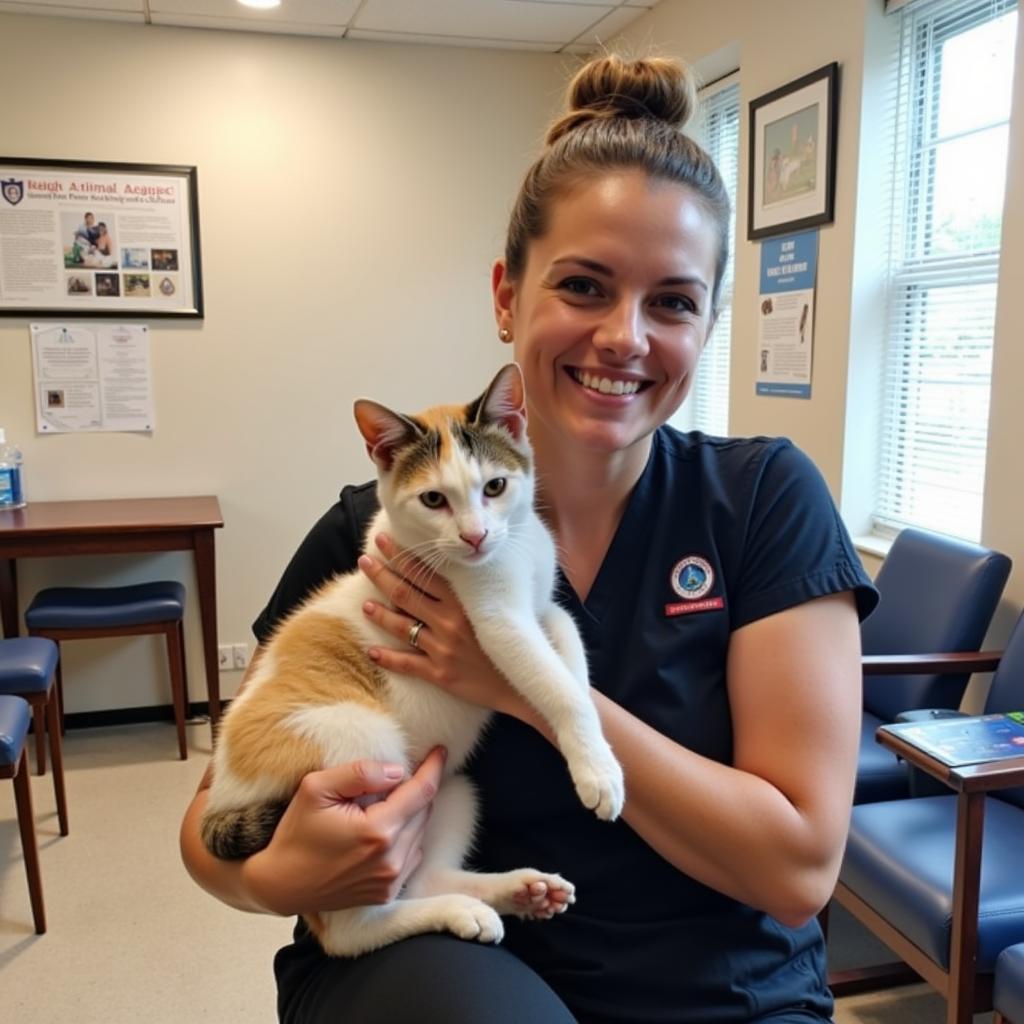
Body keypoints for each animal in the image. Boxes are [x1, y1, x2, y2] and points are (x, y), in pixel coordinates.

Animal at [199, 364, 622, 954]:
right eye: (433, 500)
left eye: (495, 487)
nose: (476, 536)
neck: (513, 547)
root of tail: (223, 796)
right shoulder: (501, 621)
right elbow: (557, 687)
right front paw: (598, 771)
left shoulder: (542, 607)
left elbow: (570, 646)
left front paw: (592, 743)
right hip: (365, 748)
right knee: (351, 930)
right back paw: (458, 910)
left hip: (451, 787)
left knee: (420, 875)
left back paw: (514, 892)